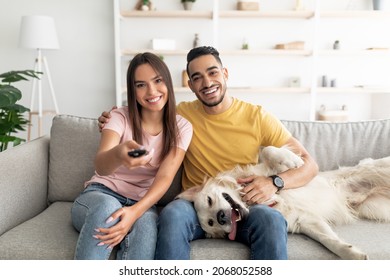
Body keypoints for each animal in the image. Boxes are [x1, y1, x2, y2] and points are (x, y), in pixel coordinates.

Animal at [178, 147, 390, 260]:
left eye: (209, 200)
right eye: (212, 223)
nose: (221, 217)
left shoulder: (272, 171)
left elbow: (268, 151)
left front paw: (292, 159)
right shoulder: (304, 221)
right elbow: (329, 241)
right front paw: (351, 253)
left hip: (377, 169)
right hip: (375, 208)